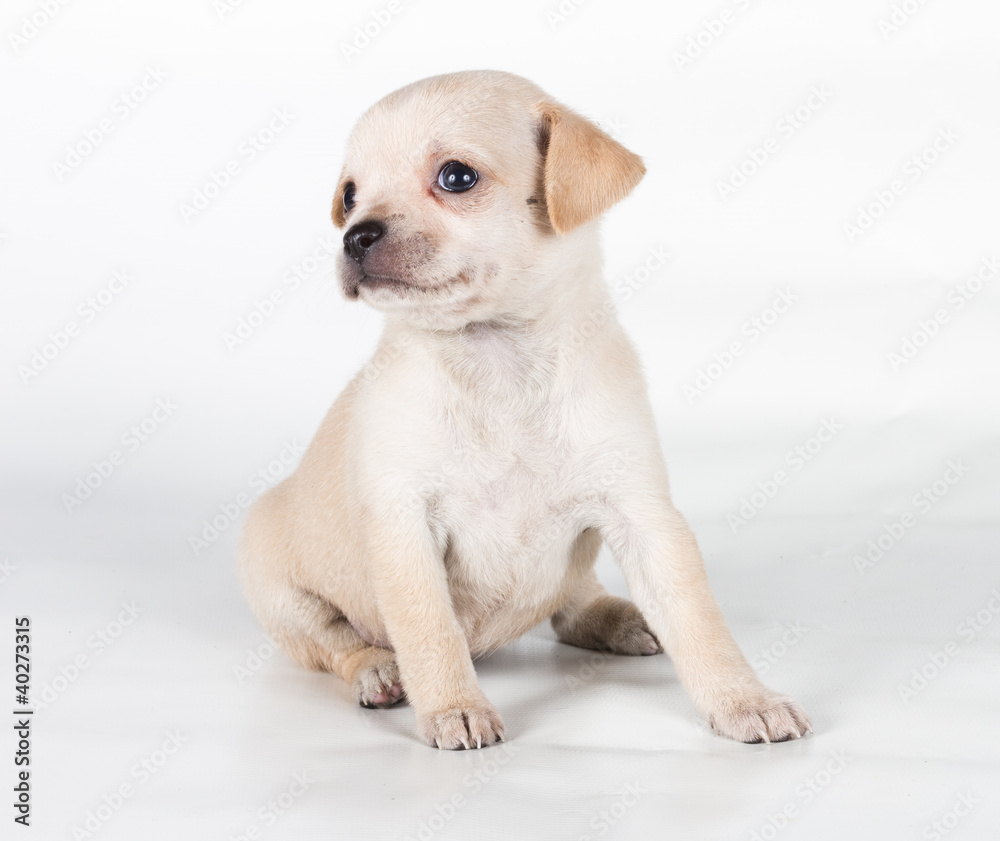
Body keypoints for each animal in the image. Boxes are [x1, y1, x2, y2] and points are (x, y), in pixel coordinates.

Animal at [240, 67, 812, 748]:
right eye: (349, 196)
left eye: (456, 177)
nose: (355, 235)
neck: (498, 363)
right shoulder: (405, 529)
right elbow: (430, 633)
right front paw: (454, 707)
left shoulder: (642, 514)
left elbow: (698, 619)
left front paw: (743, 698)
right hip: (279, 590)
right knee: (336, 643)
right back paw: (379, 669)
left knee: (571, 603)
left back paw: (618, 617)